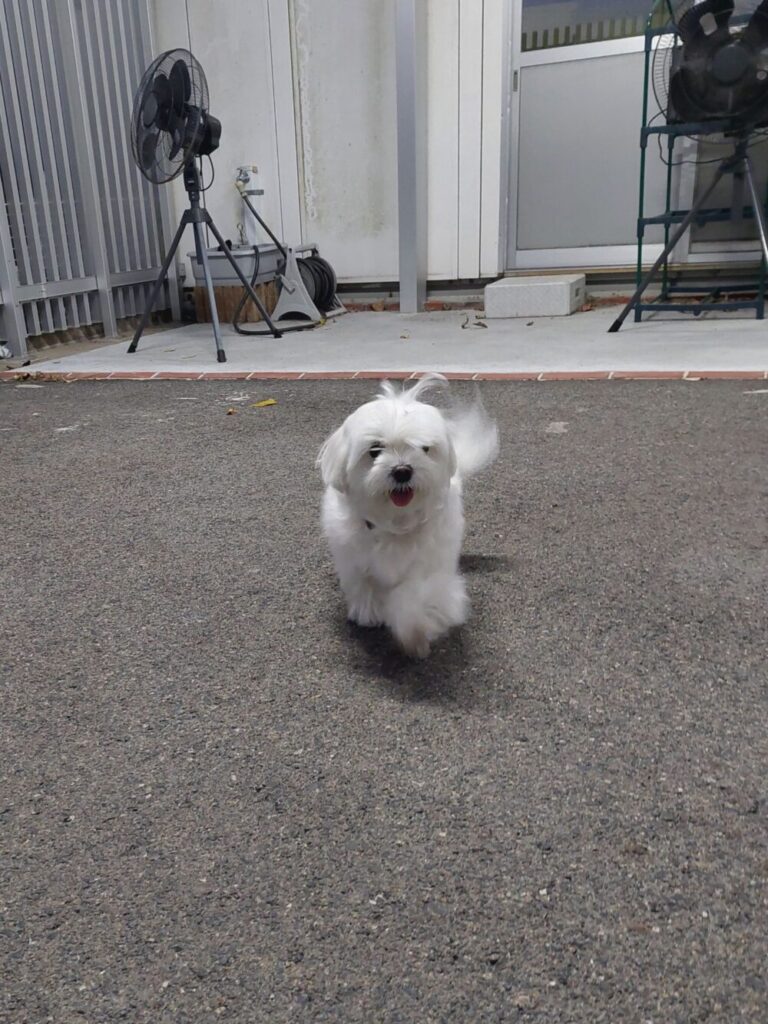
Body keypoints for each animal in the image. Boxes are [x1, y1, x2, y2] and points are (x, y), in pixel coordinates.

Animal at [317, 373, 498, 658]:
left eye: (424, 448)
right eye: (375, 450)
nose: (402, 470)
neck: (395, 522)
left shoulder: (427, 569)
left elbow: (412, 598)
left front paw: (415, 634)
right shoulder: (355, 559)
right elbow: (364, 585)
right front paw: (369, 613)